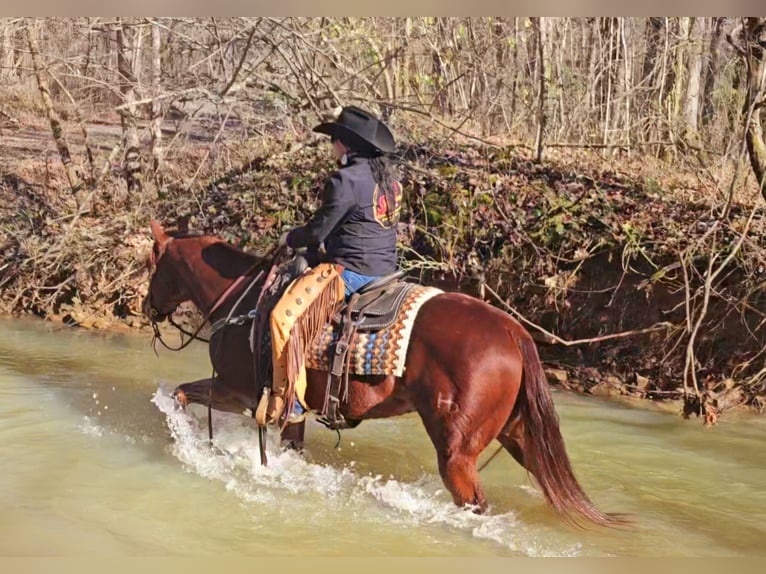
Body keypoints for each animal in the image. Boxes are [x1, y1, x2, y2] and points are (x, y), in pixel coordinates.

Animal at [141, 222, 628, 532]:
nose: (146, 307)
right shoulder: (291, 410)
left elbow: (180, 396)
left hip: (457, 452)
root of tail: (514, 330)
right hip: (517, 433)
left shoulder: (237, 392)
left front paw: (188, 443)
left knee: (474, 502)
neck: (244, 301)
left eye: (153, 264)